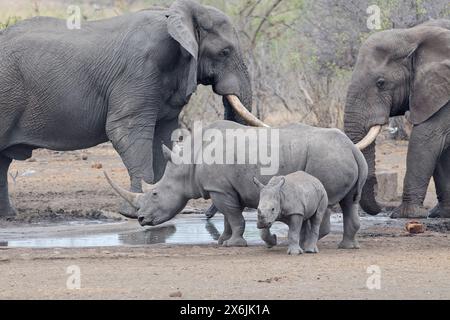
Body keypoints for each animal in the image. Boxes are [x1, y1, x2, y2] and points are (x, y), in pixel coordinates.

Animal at [0, 0, 266, 218]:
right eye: (225, 52)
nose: (207, 215)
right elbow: (126, 131)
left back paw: (8, 216)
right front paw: (132, 212)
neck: (175, 14)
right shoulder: (138, 70)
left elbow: (163, 135)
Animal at [344, 18, 450, 219]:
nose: (381, 209)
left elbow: (426, 138)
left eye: (381, 83)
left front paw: (406, 215)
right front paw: (441, 213)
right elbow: (441, 147)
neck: (411, 35)